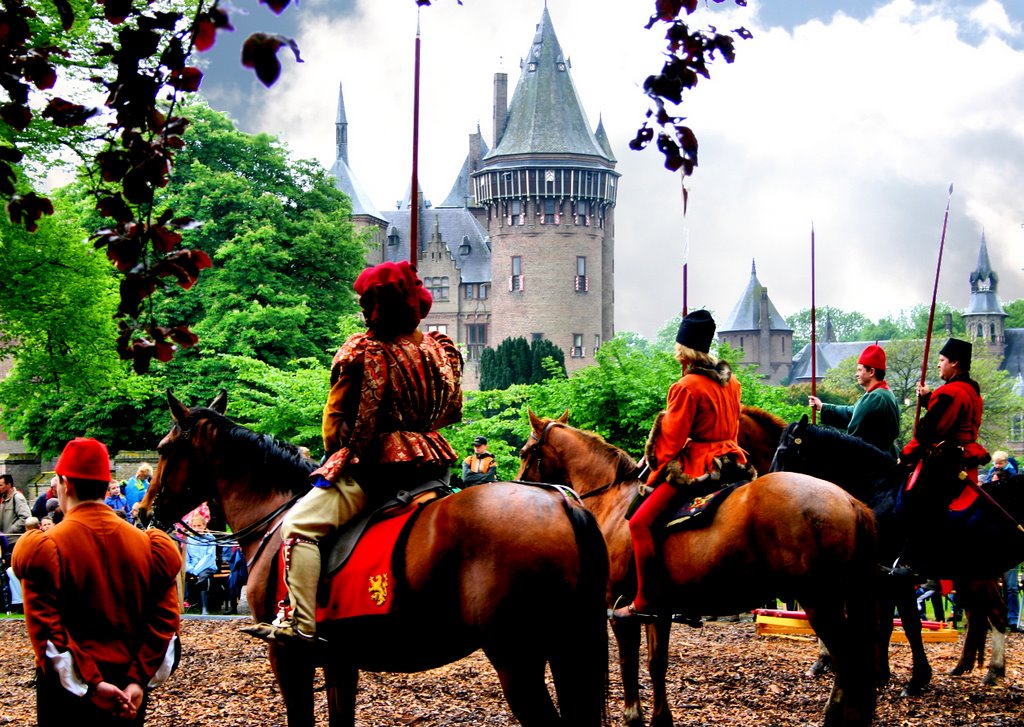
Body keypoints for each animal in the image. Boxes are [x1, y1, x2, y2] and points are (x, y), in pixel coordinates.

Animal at [141, 393, 610, 727]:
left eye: (163, 448)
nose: (145, 512)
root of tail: (560, 501)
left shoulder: (288, 657)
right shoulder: (339, 660)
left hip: (517, 659)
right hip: (562, 649)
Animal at [520, 413, 880, 724]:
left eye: (526, 452)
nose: (522, 486)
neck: (615, 499)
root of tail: (850, 501)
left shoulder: (620, 611)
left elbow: (628, 665)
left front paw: (634, 718)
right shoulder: (657, 611)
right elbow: (656, 663)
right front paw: (661, 719)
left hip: (821, 602)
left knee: (850, 663)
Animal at [770, 417, 1024, 692]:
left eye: (783, 451)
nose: (768, 484)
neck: (876, 491)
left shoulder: (897, 577)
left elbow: (909, 624)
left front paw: (917, 678)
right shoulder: (882, 579)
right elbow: (886, 624)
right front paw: (882, 674)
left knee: (992, 614)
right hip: (976, 575)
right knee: (988, 614)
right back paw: (981, 668)